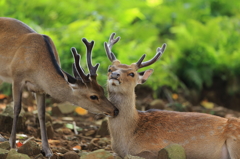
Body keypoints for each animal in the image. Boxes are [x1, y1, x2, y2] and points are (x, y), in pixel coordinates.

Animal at [0, 18, 119, 157]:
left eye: (102, 89)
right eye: (93, 96)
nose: (115, 110)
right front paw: (12, 145)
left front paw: (47, 150)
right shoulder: (16, 76)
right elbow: (17, 108)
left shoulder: (40, 88)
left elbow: (42, 114)